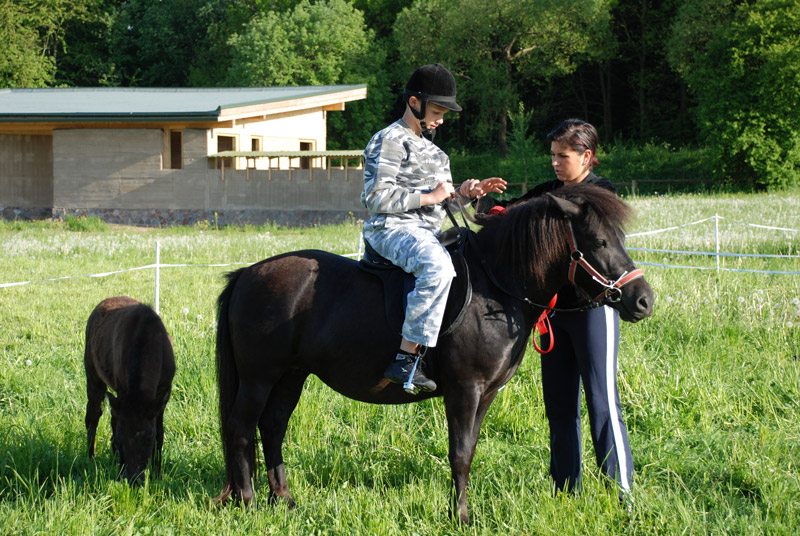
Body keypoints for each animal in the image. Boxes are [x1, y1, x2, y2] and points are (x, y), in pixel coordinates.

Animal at [214, 184, 656, 524]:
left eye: (619, 240)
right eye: (599, 242)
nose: (643, 300)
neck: (495, 286)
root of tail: (247, 274)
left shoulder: (485, 394)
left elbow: (469, 451)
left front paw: (461, 511)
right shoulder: (465, 390)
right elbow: (459, 454)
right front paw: (459, 517)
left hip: (291, 375)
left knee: (272, 428)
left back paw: (284, 500)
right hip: (259, 377)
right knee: (240, 429)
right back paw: (249, 503)